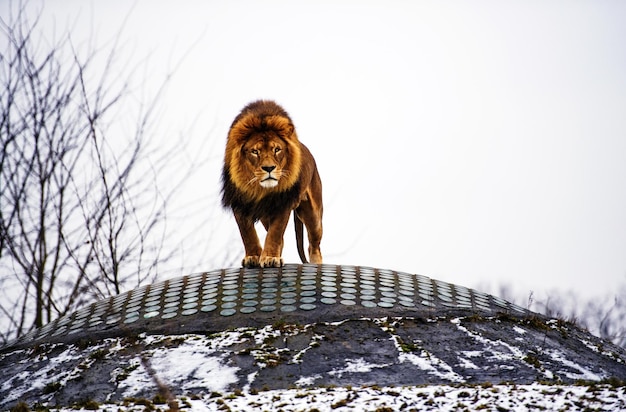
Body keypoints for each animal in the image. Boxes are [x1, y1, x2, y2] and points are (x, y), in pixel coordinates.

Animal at [221, 99, 322, 268]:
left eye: (277, 149)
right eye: (255, 151)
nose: (269, 168)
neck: (260, 190)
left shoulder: (283, 202)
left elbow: (275, 233)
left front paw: (270, 258)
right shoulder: (239, 201)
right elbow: (247, 233)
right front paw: (253, 256)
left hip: (314, 215)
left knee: (314, 246)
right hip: (265, 216)